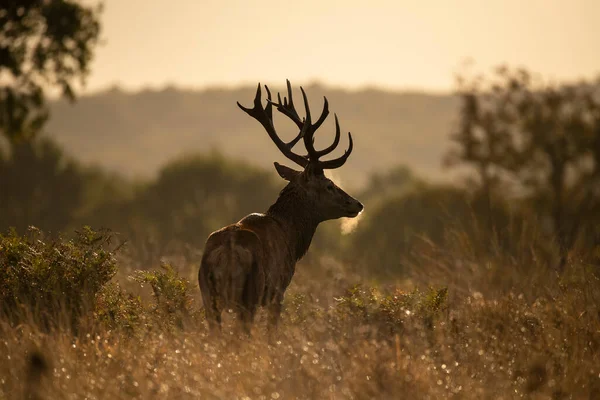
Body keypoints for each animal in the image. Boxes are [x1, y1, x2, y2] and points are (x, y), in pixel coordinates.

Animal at [199, 79, 364, 332]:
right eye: (329, 185)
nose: (357, 204)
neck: (292, 236)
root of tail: (225, 254)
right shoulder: (279, 289)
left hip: (208, 297)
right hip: (249, 295)